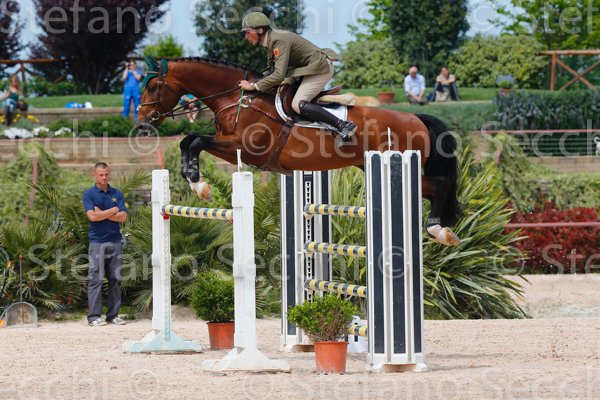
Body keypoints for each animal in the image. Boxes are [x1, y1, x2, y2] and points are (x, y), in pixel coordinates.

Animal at [136, 57, 461, 246]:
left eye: (151, 88)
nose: (141, 125)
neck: (237, 98)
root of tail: (416, 118)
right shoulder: (230, 144)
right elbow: (188, 140)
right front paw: (196, 182)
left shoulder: (242, 148)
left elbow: (196, 142)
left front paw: (199, 185)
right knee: (433, 189)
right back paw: (442, 231)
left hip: (398, 162)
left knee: (440, 185)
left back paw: (438, 231)